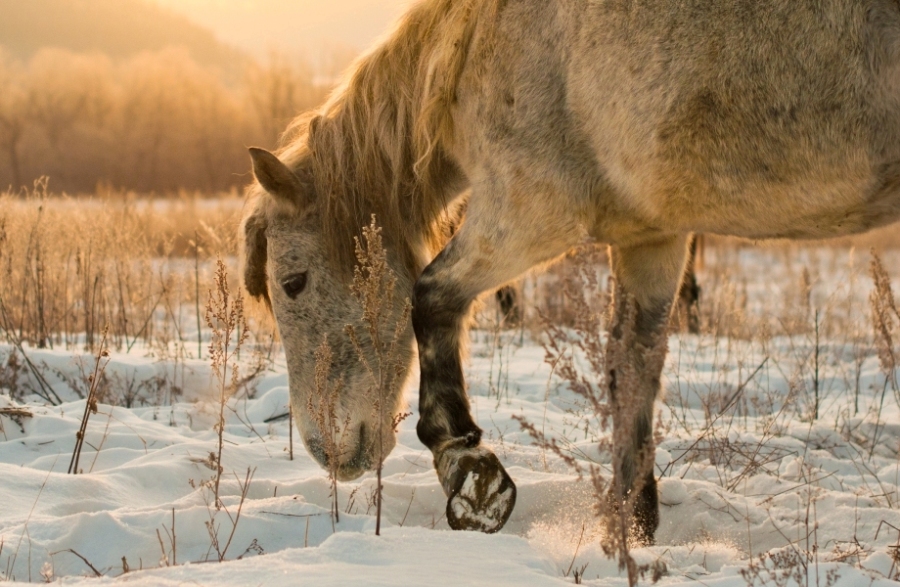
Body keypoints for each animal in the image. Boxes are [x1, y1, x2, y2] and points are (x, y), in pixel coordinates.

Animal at [237, 0, 900, 544]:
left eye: (293, 283)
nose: (329, 453)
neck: (486, 44)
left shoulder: (532, 213)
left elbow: (431, 299)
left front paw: (470, 472)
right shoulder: (651, 237)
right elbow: (632, 367)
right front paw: (632, 527)